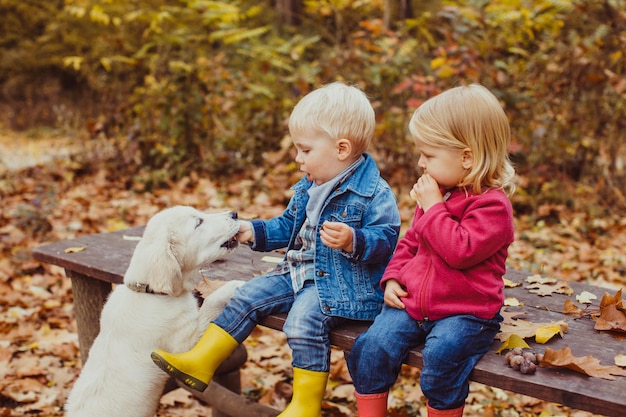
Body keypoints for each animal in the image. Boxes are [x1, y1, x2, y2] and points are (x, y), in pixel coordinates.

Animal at [65, 206, 244, 416]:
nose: (234, 214)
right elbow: (211, 302)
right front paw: (233, 285)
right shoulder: (185, 343)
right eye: (198, 222)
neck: (150, 292)